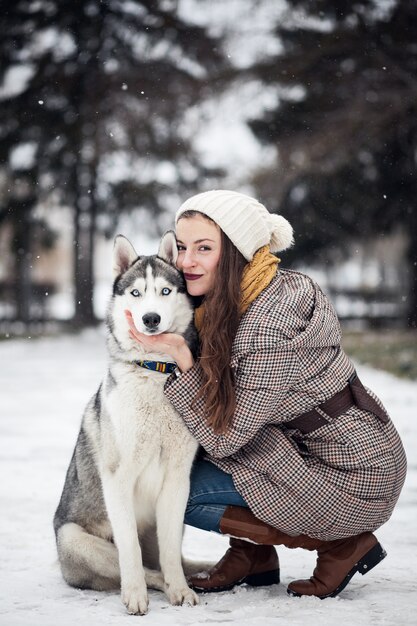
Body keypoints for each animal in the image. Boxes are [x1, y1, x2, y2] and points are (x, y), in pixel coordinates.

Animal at [52, 230, 199, 616]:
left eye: (165, 291)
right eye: (136, 293)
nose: (150, 318)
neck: (155, 373)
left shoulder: (178, 479)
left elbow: (170, 555)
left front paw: (181, 589)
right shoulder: (118, 478)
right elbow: (130, 552)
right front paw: (135, 597)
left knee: (164, 561)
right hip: (75, 539)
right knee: (143, 568)